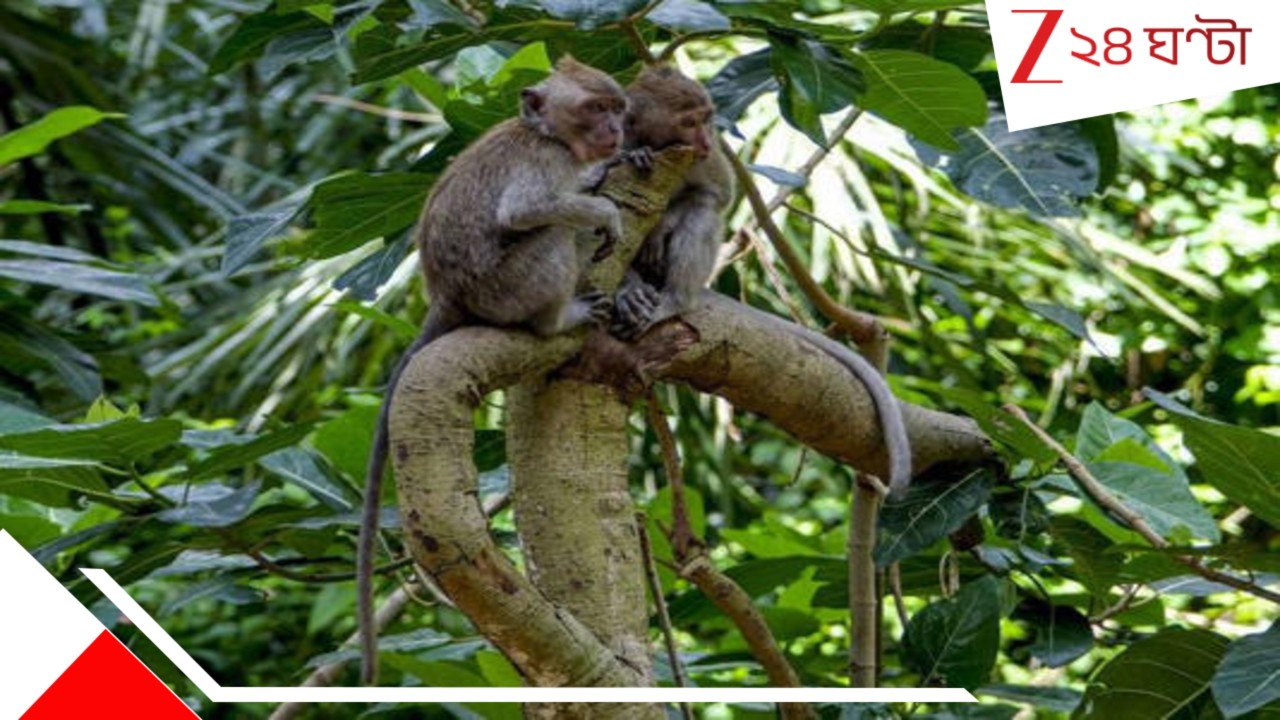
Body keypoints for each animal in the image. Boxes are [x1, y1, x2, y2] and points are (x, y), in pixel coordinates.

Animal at [357, 56, 629, 686]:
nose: (614, 132)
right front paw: (603, 206)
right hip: (509, 286)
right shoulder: (546, 162)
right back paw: (558, 318)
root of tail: (446, 294)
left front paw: (608, 169)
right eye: (593, 109)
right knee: (551, 232)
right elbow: (526, 211)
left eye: (616, 108)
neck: (547, 133)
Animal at [611, 65, 913, 499]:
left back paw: (674, 301)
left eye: (706, 119)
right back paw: (630, 289)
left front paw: (661, 228)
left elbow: (717, 194)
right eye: (689, 122)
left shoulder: (699, 160)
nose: (707, 139)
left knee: (702, 213)